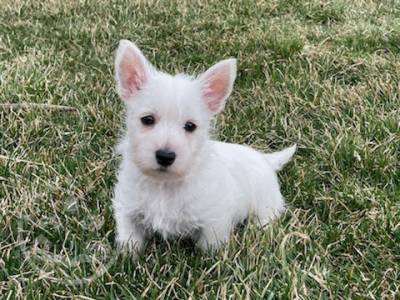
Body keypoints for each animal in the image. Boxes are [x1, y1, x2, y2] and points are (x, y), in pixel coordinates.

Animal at [111, 38, 296, 252]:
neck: (164, 186)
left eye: (190, 126)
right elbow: (130, 236)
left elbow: (209, 246)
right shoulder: (127, 208)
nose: (165, 156)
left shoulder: (214, 219)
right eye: (147, 120)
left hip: (265, 204)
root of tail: (264, 159)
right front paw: (128, 253)